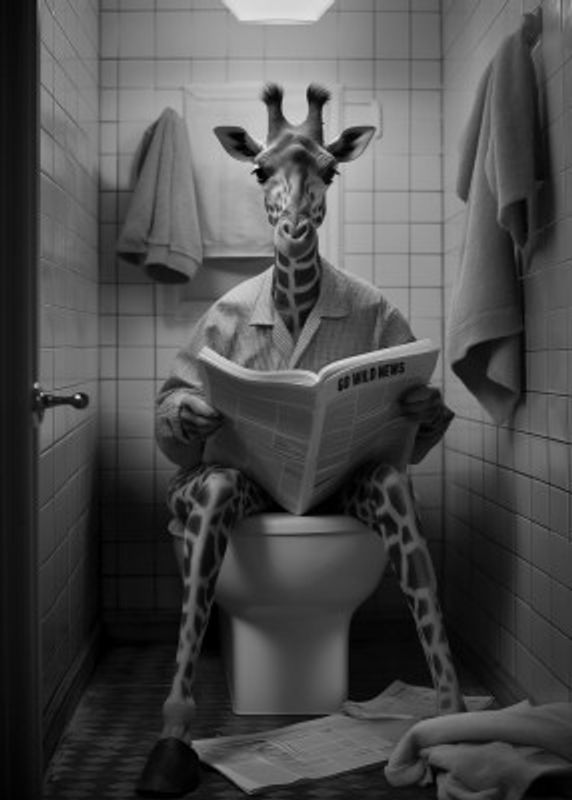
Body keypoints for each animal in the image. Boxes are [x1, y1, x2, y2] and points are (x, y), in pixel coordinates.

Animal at [136, 84, 465, 798]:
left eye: (331, 170)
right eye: (260, 169)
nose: (294, 231)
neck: (292, 308)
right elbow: (175, 401)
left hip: (348, 496)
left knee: (395, 498)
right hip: (225, 494)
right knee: (215, 499)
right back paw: (172, 746)